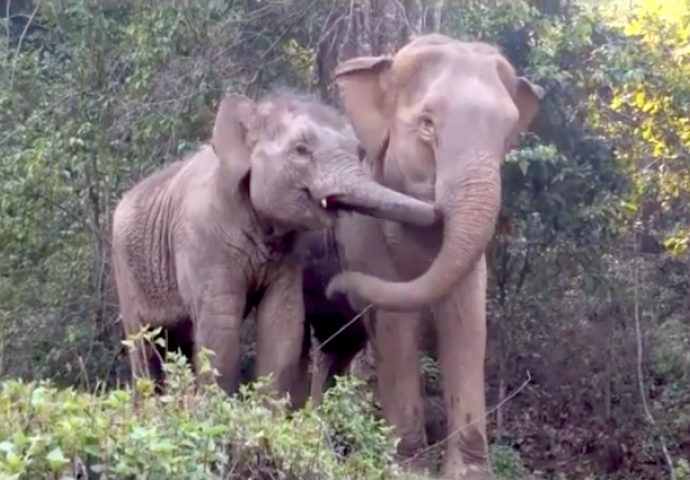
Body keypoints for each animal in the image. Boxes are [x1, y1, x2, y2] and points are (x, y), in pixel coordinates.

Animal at [112, 89, 436, 404]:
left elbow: (282, 321)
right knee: (144, 346)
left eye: (358, 152)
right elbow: (220, 327)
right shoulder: (202, 237)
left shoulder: (291, 254)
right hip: (125, 272)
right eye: (301, 150)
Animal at [320, 34, 544, 480]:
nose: (336, 286)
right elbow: (395, 326)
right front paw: (410, 469)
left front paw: (468, 474)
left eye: (507, 134)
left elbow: (467, 323)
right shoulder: (365, 235)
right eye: (427, 124)